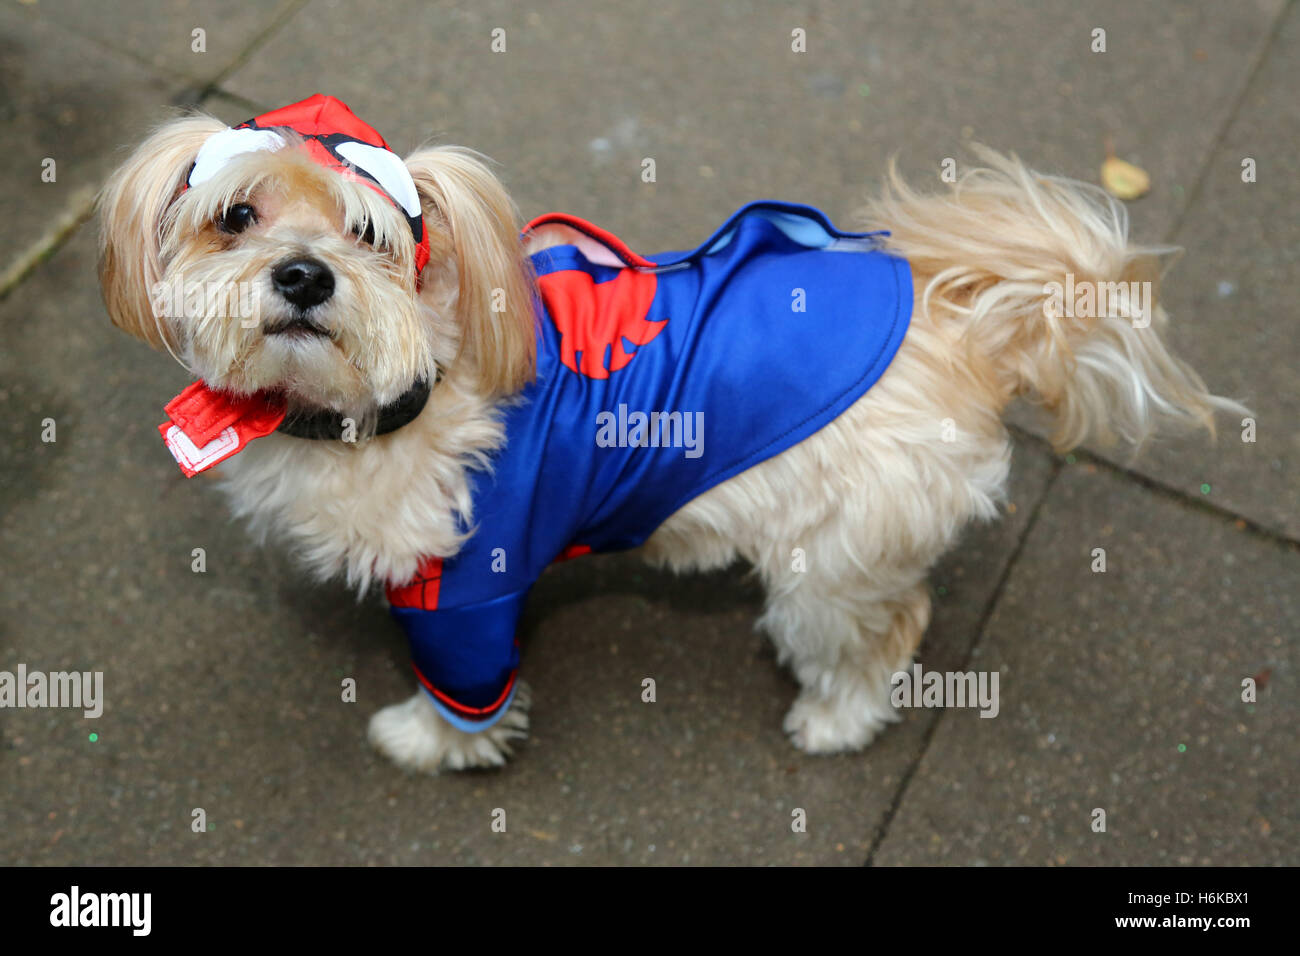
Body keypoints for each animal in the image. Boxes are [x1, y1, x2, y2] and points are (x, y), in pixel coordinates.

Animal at [98, 93, 1237, 775]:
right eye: (235, 215)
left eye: (371, 234)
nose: (301, 274)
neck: (394, 391)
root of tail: (960, 324)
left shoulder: (467, 591)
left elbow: (464, 695)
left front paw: (424, 741)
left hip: (828, 565)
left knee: (886, 631)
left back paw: (833, 720)